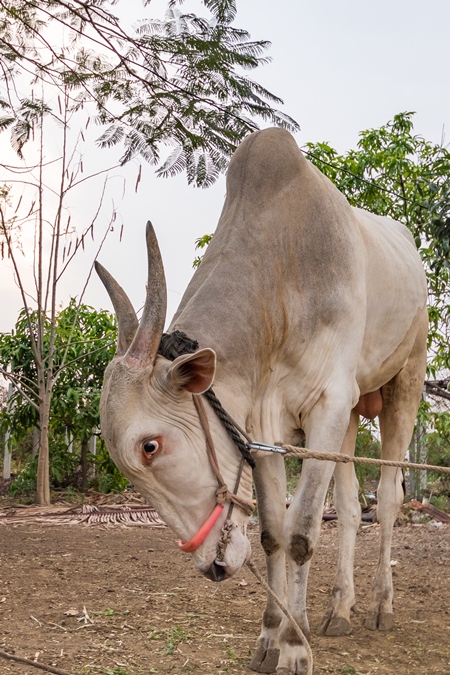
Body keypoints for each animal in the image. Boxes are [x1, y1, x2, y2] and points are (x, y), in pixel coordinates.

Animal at [96, 128, 428, 675]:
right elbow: (275, 533)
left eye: (150, 446)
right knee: (350, 507)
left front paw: (294, 648)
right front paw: (274, 634)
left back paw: (381, 605)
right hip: (351, 415)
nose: (212, 566)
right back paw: (338, 609)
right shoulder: (265, 429)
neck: (282, 274)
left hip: (406, 382)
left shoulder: (327, 406)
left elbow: (301, 534)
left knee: (387, 501)